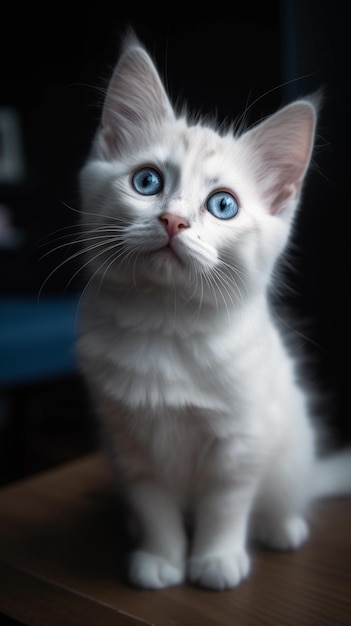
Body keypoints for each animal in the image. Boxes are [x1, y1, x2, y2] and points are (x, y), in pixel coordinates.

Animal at [77, 31, 351, 588]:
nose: (173, 221)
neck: (165, 324)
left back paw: (281, 528)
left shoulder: (241, 441)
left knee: (284, 498)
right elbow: (155, 506)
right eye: (147, 182)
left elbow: (225, 505)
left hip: (291, 446)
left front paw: (216, 560)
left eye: (223, 205)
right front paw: (161, 558)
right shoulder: (130, 444)